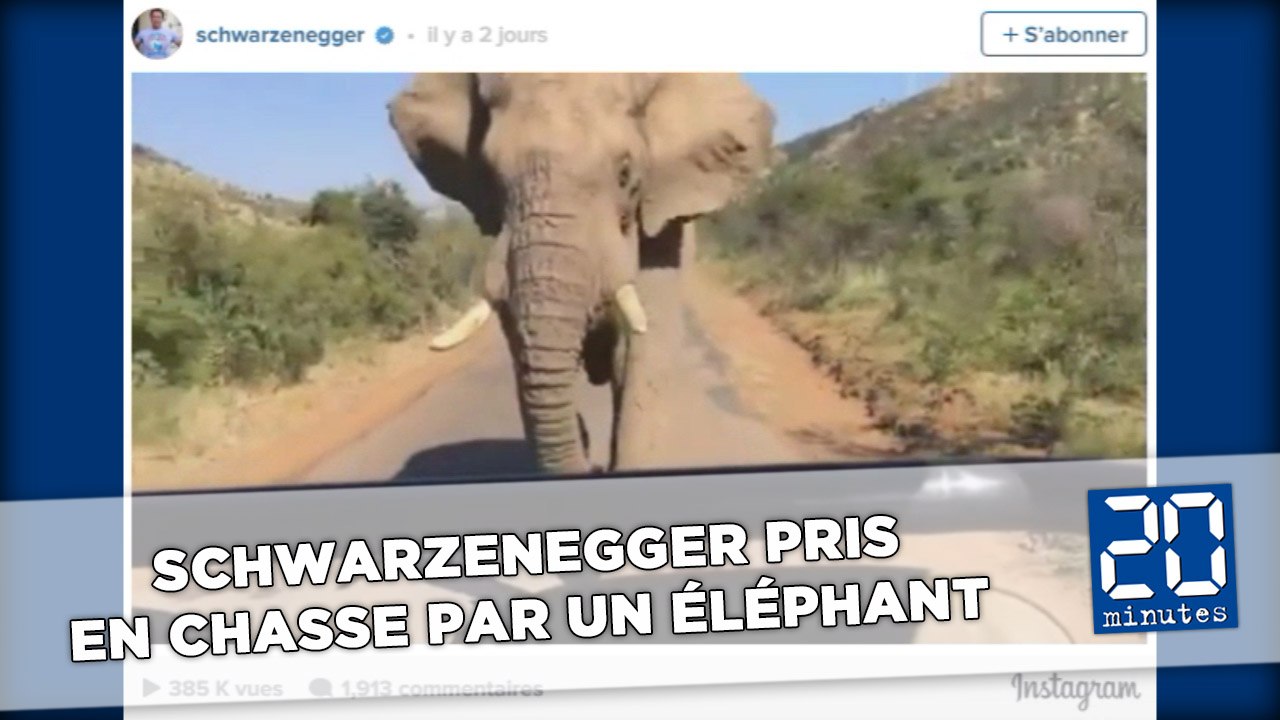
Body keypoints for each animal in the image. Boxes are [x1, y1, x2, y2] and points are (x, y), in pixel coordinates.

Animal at [388, 74, 775, 475]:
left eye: (625, 174)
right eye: (490, 176)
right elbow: (528, 360)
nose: (595, 468)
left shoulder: (664, 233)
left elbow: (636, 359)